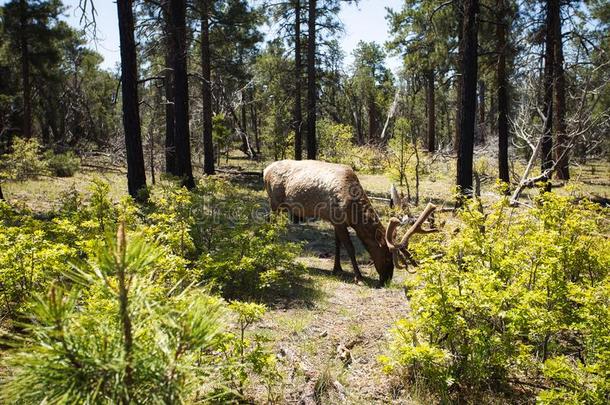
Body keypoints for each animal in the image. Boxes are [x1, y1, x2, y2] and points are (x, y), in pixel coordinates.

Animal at [260, 159, 432, 284]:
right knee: (269, 221)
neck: (353, 213)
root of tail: (265, 170)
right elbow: (350, 248)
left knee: (268, 221)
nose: (386, 280)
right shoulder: (339, 219)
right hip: (274, 201)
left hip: (278, 205)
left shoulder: (336, 221)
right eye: (386, 257)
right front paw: (359, 277)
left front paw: (337, 268)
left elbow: (337, 244)